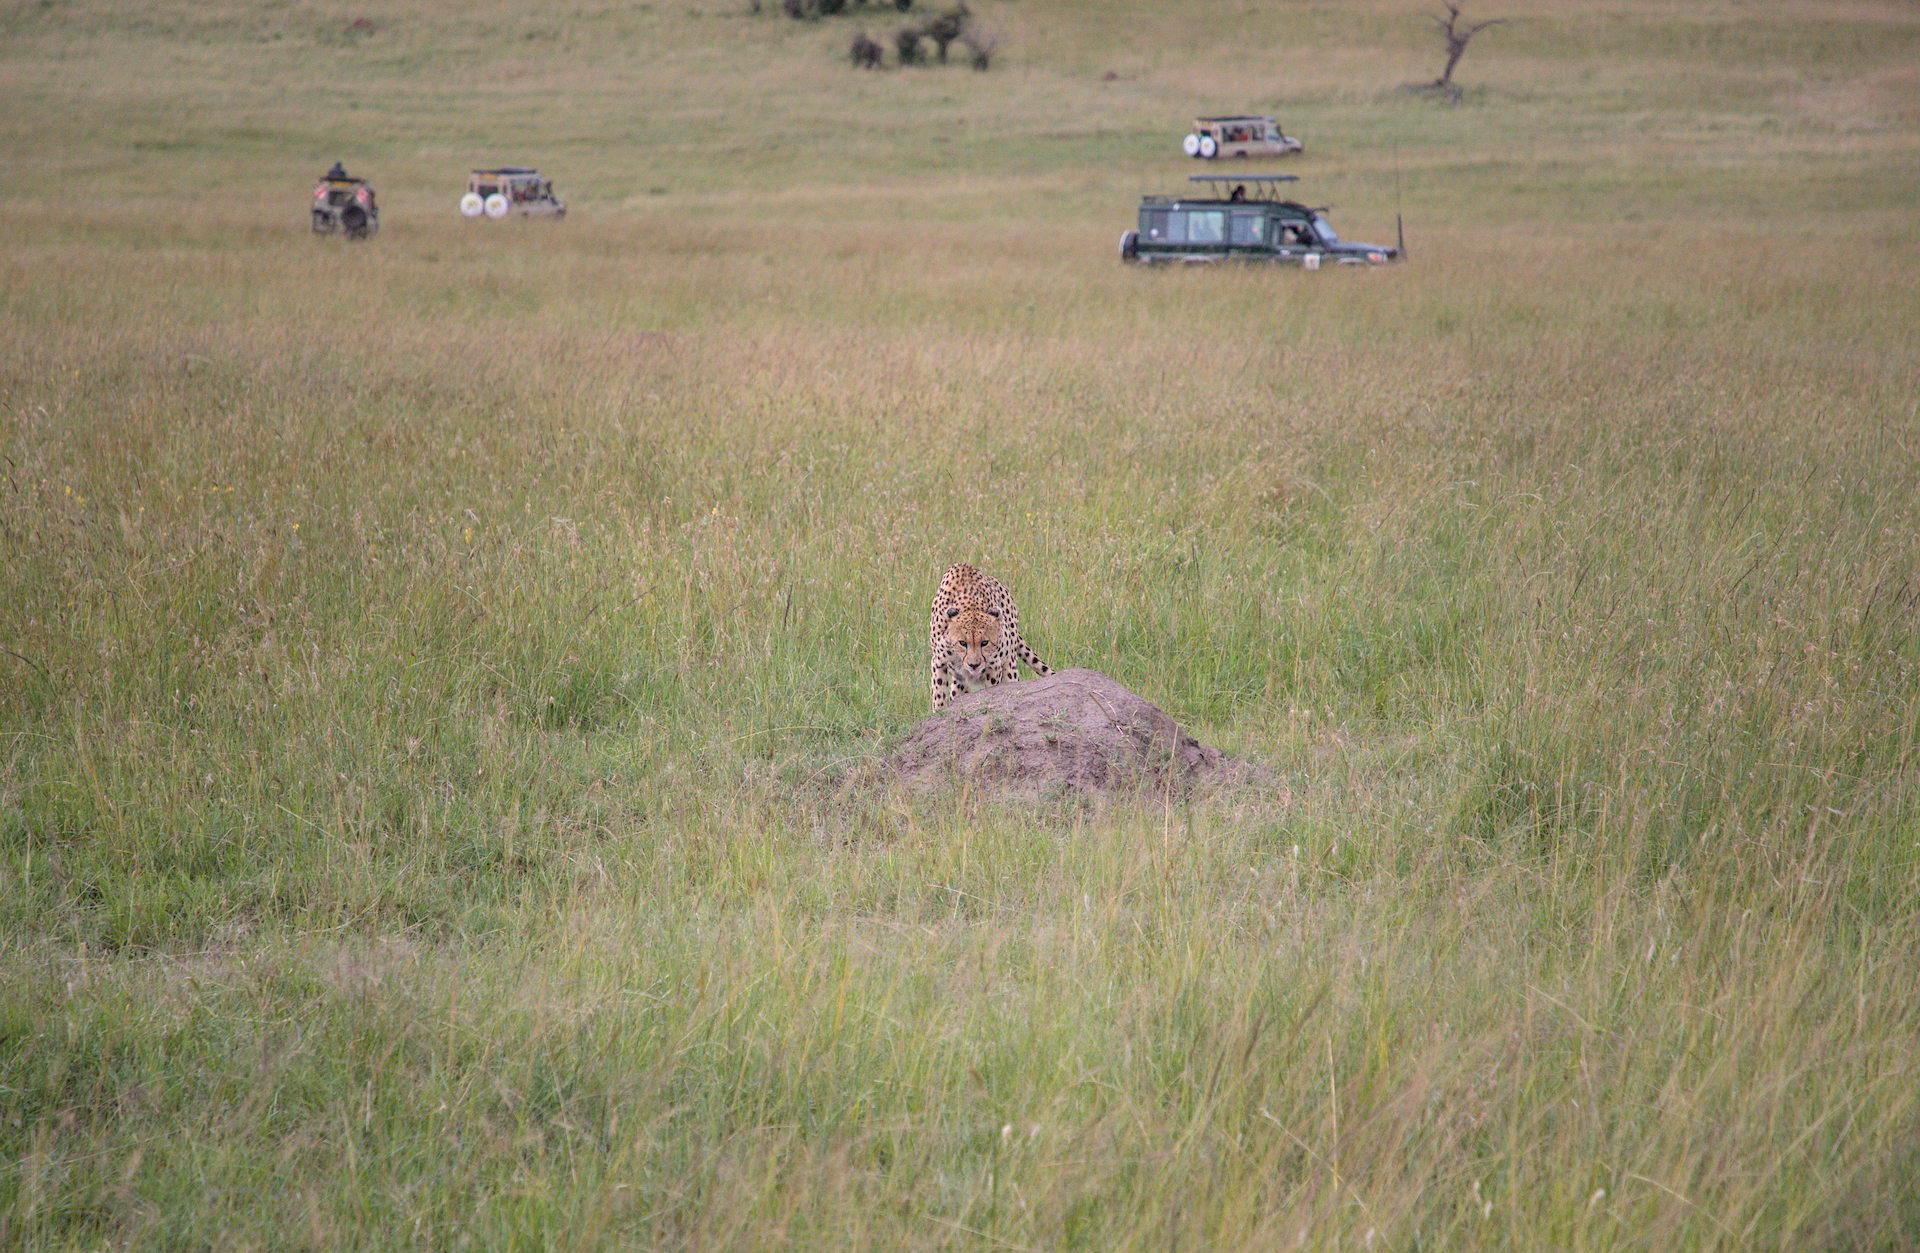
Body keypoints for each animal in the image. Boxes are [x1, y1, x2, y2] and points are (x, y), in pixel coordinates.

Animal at [928, 562, 1053, 711]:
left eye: (984, 643)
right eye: (962, 643)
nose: (974, 665)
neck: (970, 604)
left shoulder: (994, 664)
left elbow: (991, 690)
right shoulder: (938, 661)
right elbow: (939, 694)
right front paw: (938, 710)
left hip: (1010, 667)